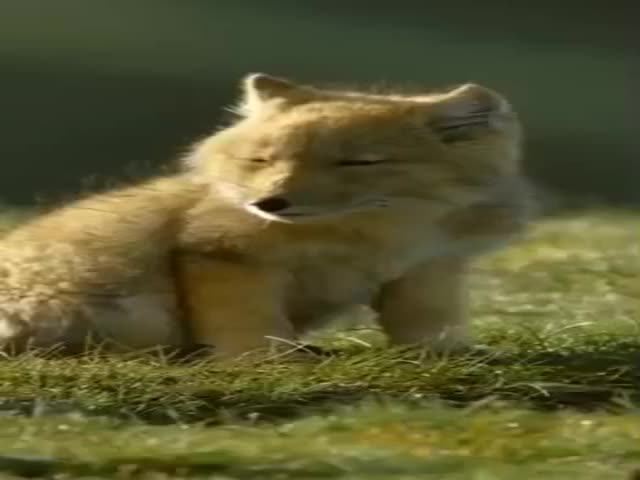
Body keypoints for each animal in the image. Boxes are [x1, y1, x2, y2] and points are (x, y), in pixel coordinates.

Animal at [0, 72, 532, 356]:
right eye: (263, 160)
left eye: (356, 162)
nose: (269, 203)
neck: (369, 241)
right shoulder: (221, 253)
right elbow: (250, 327)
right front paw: (267, 362)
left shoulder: (426, 267)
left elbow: (427, 326)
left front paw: (446, 355)